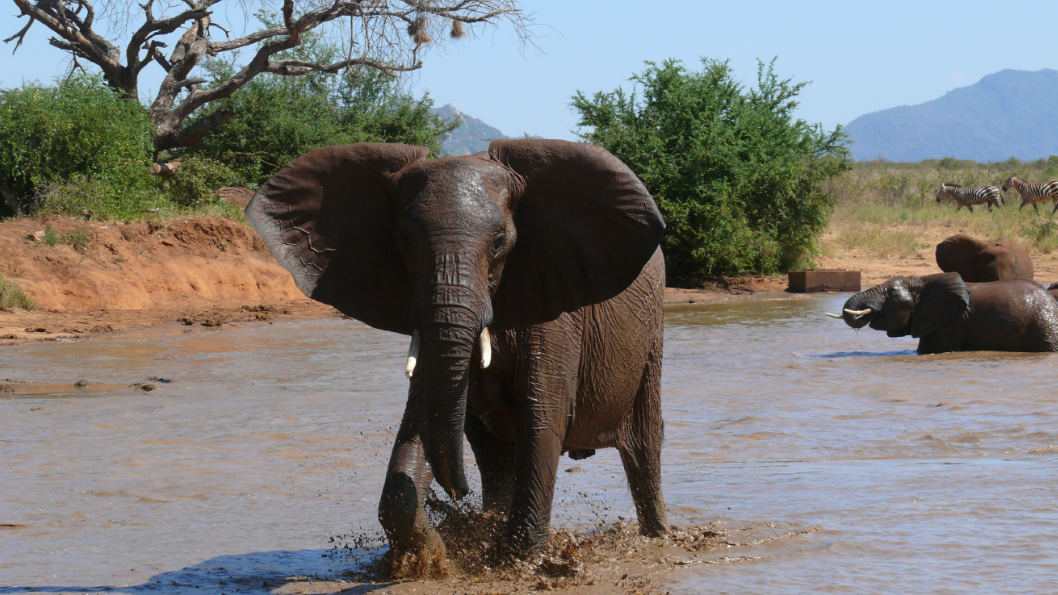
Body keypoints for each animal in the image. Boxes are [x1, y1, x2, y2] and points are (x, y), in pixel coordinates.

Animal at [243, 138, 664, 559]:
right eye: (405, 239)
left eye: (500, 243)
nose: (456, 495)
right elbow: (423, 418)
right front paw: (436, 557)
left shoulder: (555, 312)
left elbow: (542, 417)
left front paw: (520, 559)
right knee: (495, 457)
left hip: (651, 337)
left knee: (643, 448)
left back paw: (658, 538)